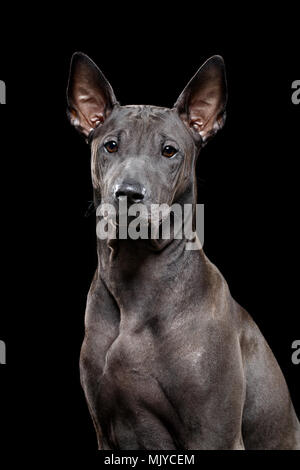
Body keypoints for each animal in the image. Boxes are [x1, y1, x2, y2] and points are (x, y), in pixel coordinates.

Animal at [66, 52, 300, 452]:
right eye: (110, 146)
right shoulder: (104, 433)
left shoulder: (214, 433)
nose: (128, 193)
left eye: (169, 150)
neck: (136, 281)